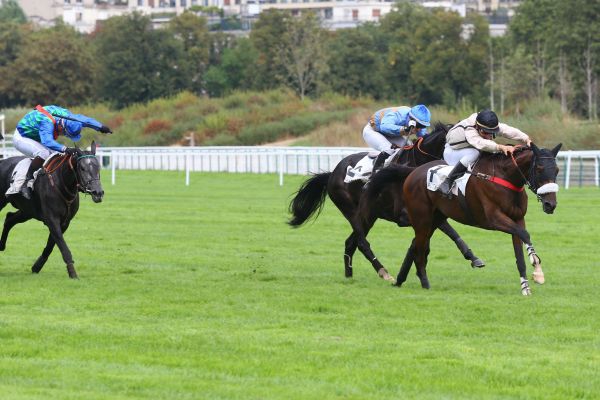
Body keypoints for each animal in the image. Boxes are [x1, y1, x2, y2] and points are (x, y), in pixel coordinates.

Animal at [0, 143, 103, 278]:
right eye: (82, 168)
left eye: (98, 167)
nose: (98, 192)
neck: (61, 183)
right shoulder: (52, 219)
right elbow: (63, 246)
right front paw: (73, 273)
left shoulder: (64, 222)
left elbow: (51, 245)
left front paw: (36, 266)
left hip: (27, 211)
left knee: (9, 218)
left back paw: (1, 245)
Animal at [288, 123, 486, 282]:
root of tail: (332, 174)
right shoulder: (408, 215)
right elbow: (440, 232)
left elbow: (450, 233)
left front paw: (473, 257)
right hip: (353, 212)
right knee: (362, 243)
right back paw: (383, 272)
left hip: (369, 216)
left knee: (350, 243)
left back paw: (349, 275)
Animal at [370, 143, 564, 294]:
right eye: (539, 169)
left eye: (556, 170)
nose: (550, 204)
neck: (505, 178)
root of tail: (414, 171)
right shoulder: (494, 219)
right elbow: (525, 235)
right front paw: (538, 271)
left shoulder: (517, 219)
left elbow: (520, 253)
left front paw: (525, 286)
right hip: (422, 219)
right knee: (419, 248)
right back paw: (424, 283)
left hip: (435, 219)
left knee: (416, 245)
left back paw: (400, 280)